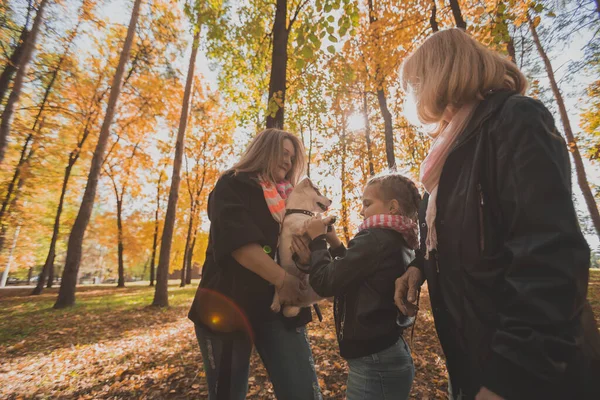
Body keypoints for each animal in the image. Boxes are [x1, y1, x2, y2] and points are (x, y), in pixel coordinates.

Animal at [272, 177, 332, 318]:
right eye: (317, 190)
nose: (331, 200)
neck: (300, 211)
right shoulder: (300, 227)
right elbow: (311, 222)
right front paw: (327, 219)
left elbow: (316, 219)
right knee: (276, 294)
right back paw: (275, 304)